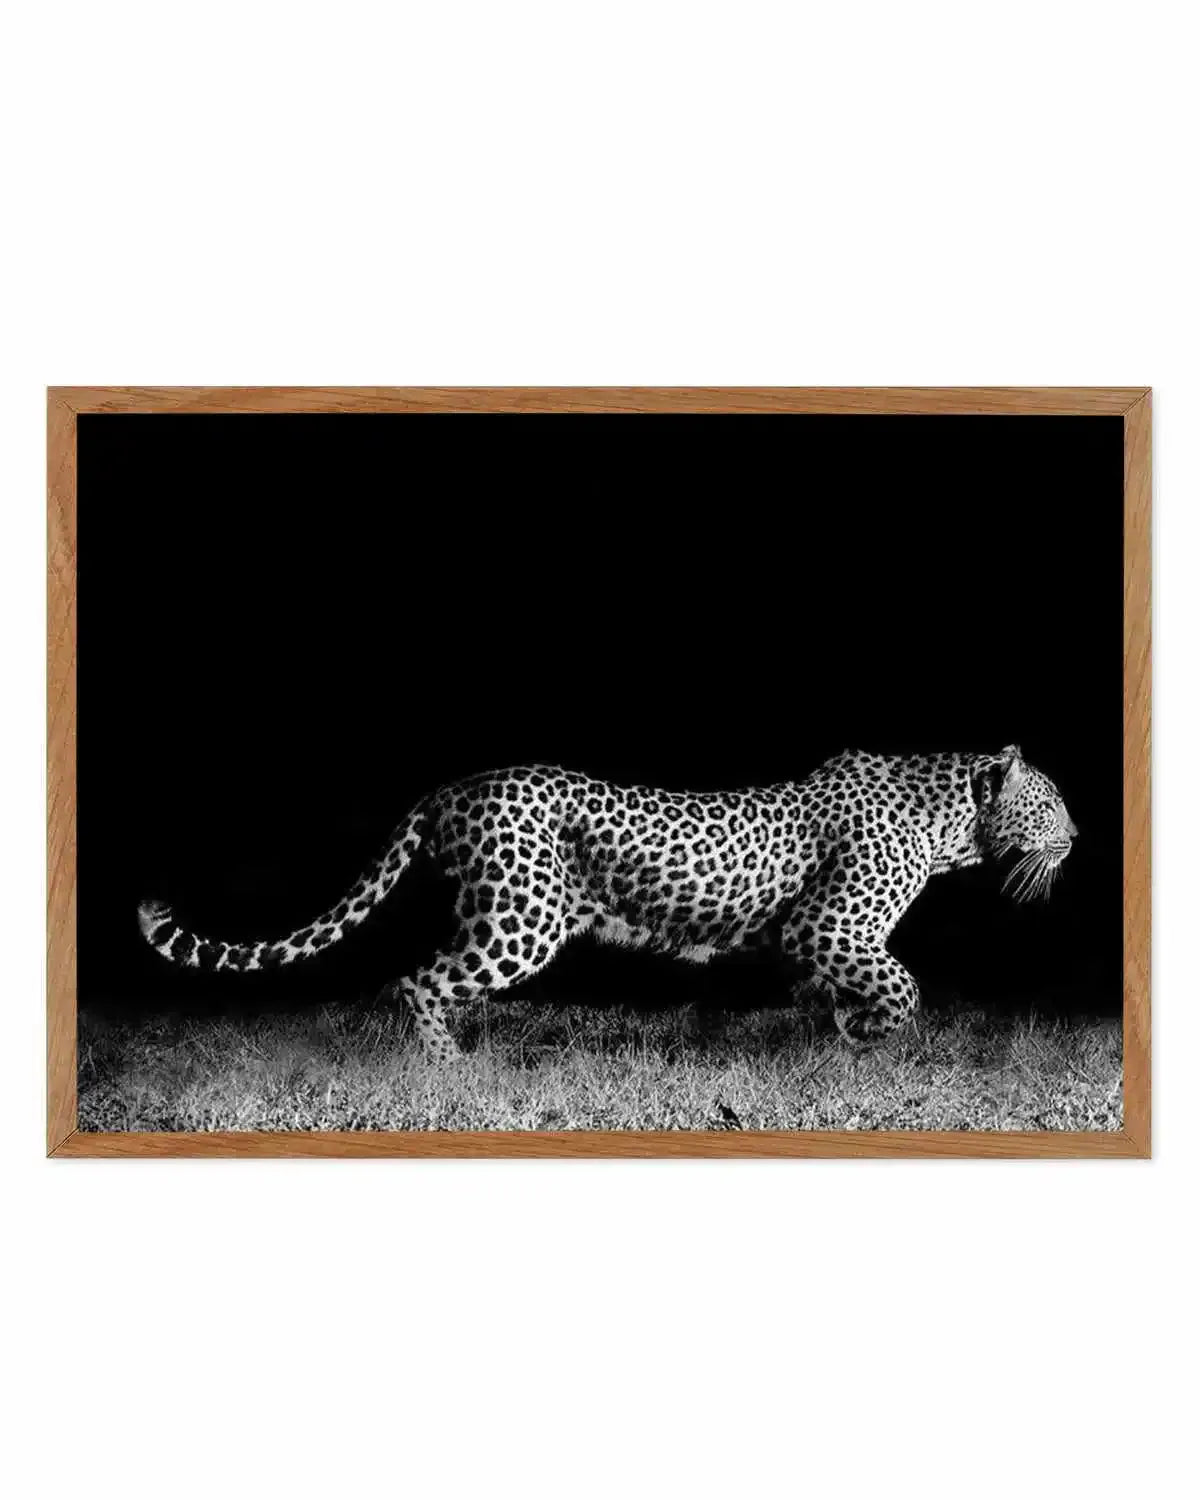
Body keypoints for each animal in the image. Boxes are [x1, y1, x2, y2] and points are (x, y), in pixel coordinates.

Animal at [138, 744, 1076, 1061]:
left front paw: (838, 1035)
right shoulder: (828, 926)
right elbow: (903, 986)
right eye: (1055, 802)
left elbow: (836, 992)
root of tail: (451, 787)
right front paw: (872, 1035)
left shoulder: (816, 941)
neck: (952, 821)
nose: (1080, 833)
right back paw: (450, 1069)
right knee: (419, 980)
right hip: (522, 918)